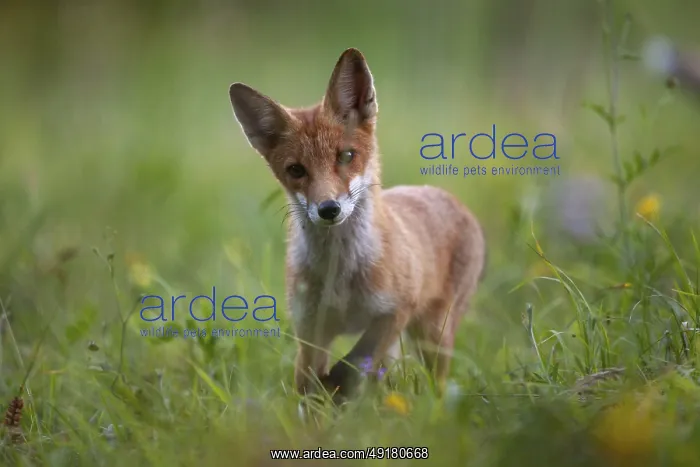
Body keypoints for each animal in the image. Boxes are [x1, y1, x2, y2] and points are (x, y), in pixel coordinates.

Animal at [228, 48, 486, 403]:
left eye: (346, 156)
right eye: (296, 170)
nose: (328, 209)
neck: (341, 276)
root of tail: (444, 194)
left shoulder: (395, 311)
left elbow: (349, 366)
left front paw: (336, 389)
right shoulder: (310, 330)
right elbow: (308, 385)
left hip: (433, 333)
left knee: (435, 382)